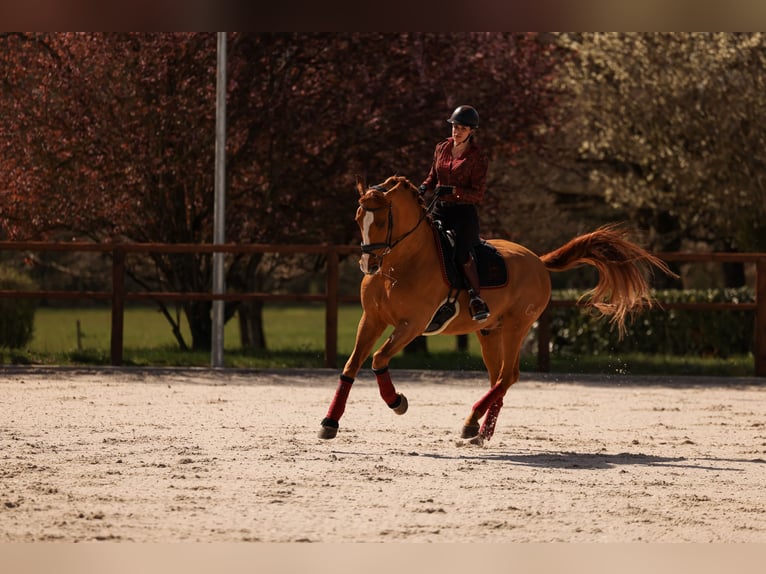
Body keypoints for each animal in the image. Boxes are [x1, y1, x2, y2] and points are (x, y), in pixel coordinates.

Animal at [318, 176, 672, 446]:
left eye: (381, 220)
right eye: (358, 218)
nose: (368, 265)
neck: (399, 266)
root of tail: (537, 261)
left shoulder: (413, 325)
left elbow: (378, 359)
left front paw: (397, 401)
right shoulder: (372, 319)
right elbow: (350, 367)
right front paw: (329, 423)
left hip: (517, 327)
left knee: (508, 375)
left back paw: (471, 422)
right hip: (490, 331)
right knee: (497, 379)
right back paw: (480, 430)